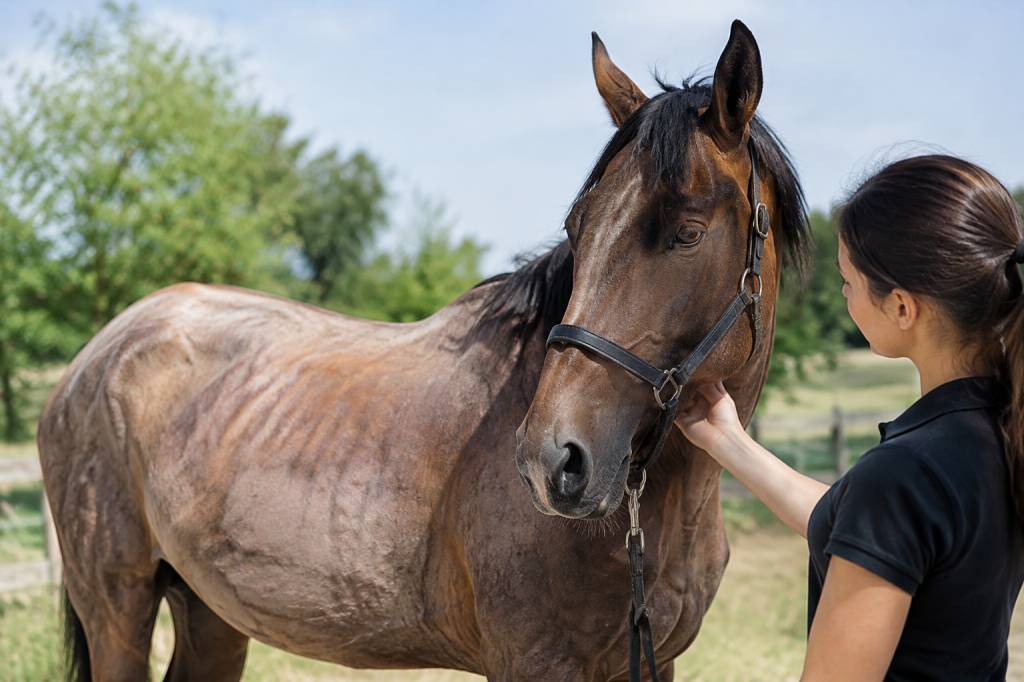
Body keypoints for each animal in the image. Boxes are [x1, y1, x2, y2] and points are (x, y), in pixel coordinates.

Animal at [39, 19, 810, 682]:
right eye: (578, 226)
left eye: (687, 232)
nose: (554, 461)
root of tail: (94, 357)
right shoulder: (536, 663)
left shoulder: (654, 660)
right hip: (118, 608)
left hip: (210, 613)